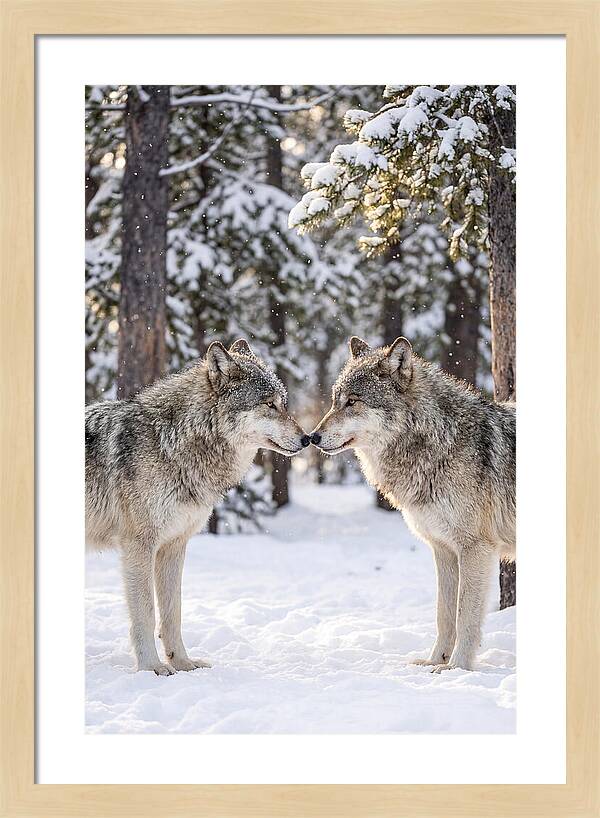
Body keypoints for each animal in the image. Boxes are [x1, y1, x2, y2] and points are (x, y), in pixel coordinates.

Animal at [86, 339, 309, 675]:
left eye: (283, 403)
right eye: (269, 404)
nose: (308, 438)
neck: (171, 443)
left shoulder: (174, 545)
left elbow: (173, 612)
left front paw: (182, 662)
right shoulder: (139, 546)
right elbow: (146, 612)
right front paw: (152, 667)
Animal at [311, 336, 516, 672]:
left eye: (353, 401)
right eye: (334, 401)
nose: (312, 437)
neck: (440, 443)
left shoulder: (476, 549)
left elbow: (465, 616)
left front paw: (456, 668)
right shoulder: (443, 549)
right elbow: (444, 615)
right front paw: (434, 661)